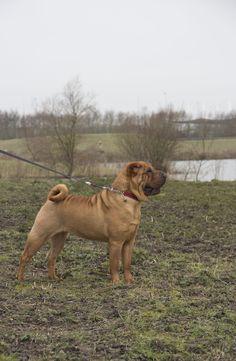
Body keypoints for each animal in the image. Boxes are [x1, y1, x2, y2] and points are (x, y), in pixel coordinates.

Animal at [16, 162, 166, 282]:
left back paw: (53, 278)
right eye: (148, 171)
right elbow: (115, 265)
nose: (165, 174)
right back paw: (20, 278)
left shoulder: (129, 242)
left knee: (51, 257)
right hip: (39, 236)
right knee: (24, 256)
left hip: (60, 238)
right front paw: (116, 282)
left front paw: (129, 281)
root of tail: (50, 200)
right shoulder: (116, 242)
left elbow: (127, 264)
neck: (127, 197)